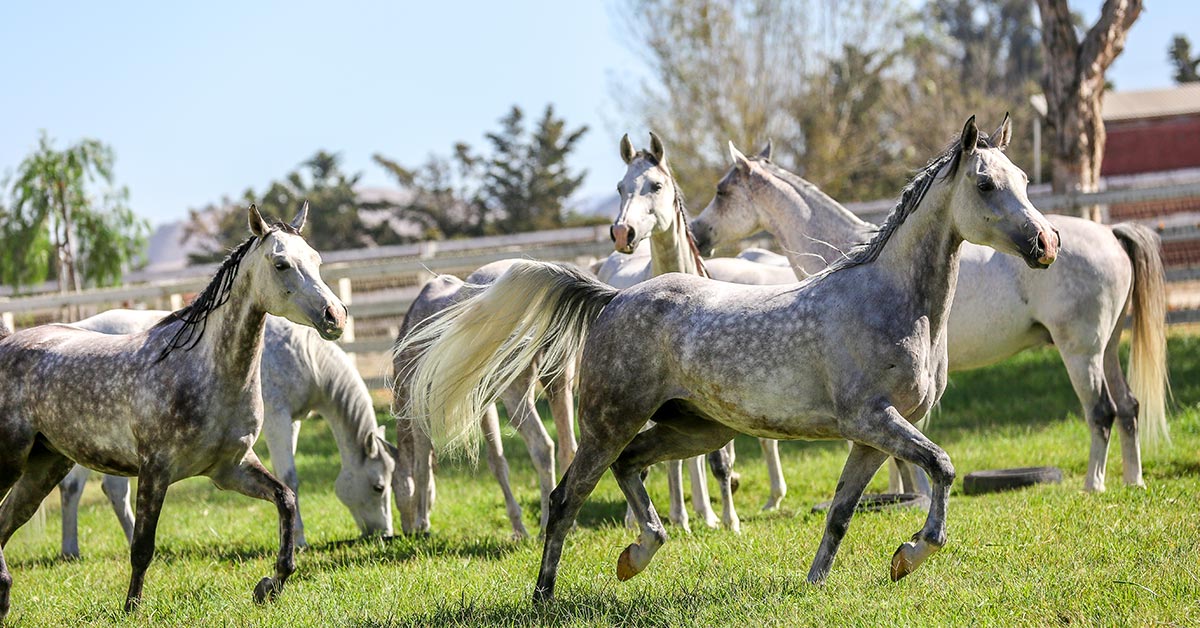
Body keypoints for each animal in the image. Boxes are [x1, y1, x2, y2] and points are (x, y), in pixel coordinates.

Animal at [1, 204, 348, 614]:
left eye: (316, 260)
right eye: (281, 264)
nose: (335, 316)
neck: (203, 369)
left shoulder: (231, 468)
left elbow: (286, 500)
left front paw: (268, 586)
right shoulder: (155, 469)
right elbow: (142, 547)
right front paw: (131, 609)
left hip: (45, 466)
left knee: (7, 520)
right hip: (10, 461)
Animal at [59, 307, 398, 557]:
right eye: (378, 487)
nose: (386, 534)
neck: (303, 355)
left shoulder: (295, 421)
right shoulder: (278, 417)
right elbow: (290, 477)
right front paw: (299, 540)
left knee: (102, 490)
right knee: (81, 488)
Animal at [400, 115, 1060, 602]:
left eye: (1026, 179)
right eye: (985, 185)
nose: (1045, 243)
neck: (893, 301)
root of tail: (613, 298)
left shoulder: (873, 438)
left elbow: (841, 513)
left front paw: (817, 584)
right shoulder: (873, 421)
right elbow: (943, 468)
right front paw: (910, 554)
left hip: (693, 429)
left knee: (632, 468)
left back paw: (637, 555)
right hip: (607, 424)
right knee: (566, 500)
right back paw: (545, 596)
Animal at [691, 135, 1166, 494]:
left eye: (721, 191)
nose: (696, 234)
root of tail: (1111, 234)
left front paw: (909, 493)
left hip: (1080, 352)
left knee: (1102, 411)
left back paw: (1093, 485)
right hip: (1107, 349)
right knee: (1128, 407)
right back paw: (1134, 481)